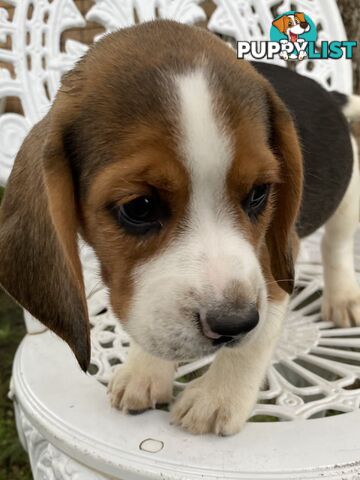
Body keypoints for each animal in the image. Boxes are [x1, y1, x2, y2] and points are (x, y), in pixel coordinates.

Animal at [0, 21, 360, 436]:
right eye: (138, 207)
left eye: (259, 193)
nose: (234, 325)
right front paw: (144, 368)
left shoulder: (275, 254)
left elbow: (257, 336)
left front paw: (218, 395)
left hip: (349, 192)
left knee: (336, 245)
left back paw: (343, 296)